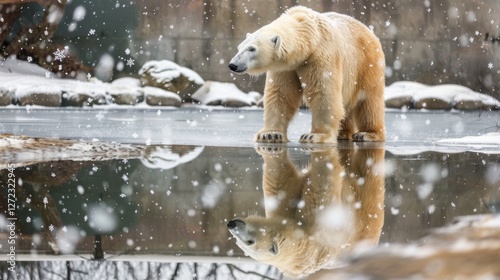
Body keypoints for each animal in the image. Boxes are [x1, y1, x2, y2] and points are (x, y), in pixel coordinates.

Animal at [229, 5, 384, 143]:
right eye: (239, 47)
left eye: (252, 49)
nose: (233, 65)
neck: (310, 32)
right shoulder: (286, 67)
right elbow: (281, 93)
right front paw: (270, 134)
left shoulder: (320, 56)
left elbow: (323, 92)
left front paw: (314, 135)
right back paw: (343, 133)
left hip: (366, 62)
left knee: (369, 100)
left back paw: (367, 134)